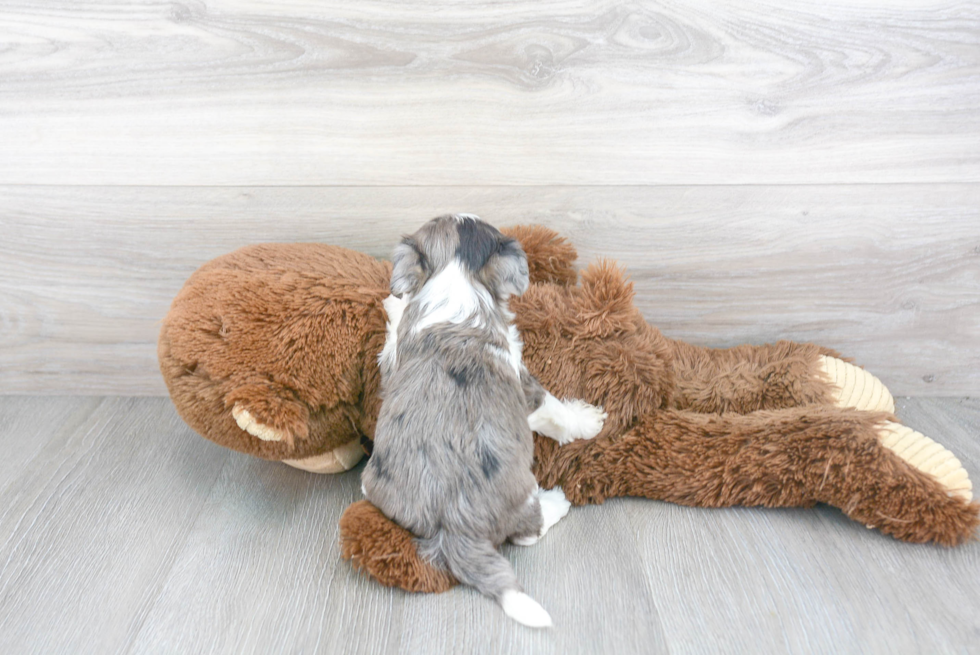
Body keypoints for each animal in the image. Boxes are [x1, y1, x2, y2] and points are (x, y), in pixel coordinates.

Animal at [360, 213, 604, 628]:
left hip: (375, 482)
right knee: (529, 531)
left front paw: (394, 302)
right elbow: (556, 412)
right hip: (521, 494)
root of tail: (453, 527)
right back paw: (556, 501)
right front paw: (589, 421)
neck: (456, 282)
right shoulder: (526, 386)